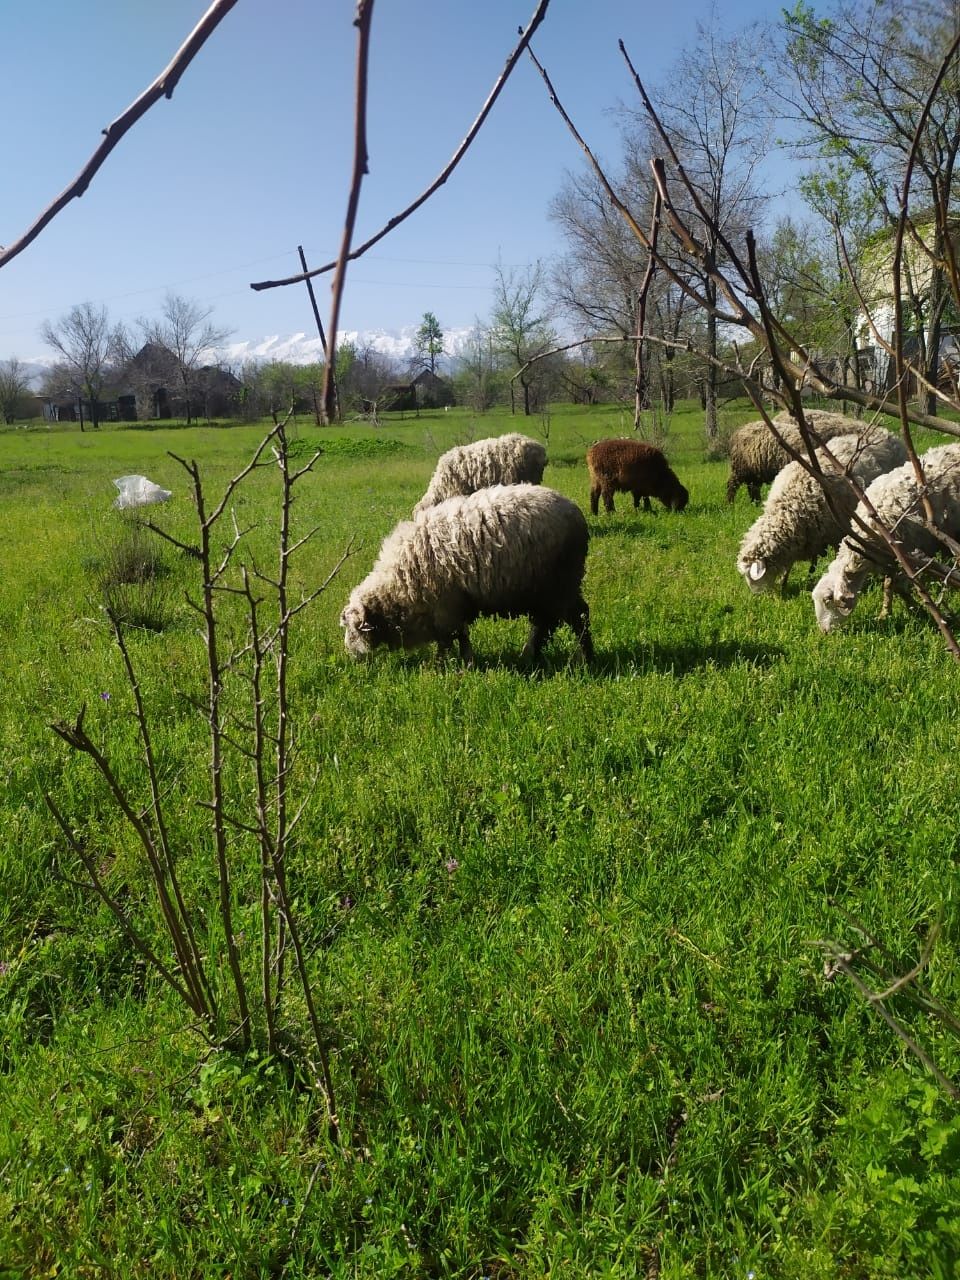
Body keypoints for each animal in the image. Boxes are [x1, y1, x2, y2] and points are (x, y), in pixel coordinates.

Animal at [337, 483, 593, 665]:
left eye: (351, 629)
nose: (350, 655)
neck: (395, 588)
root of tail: (576, 513)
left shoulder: (445, 607)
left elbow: (450, 638)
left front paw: (445, 666)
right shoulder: (452, 607)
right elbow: (460, 636)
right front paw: (465, 662)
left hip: (560, 582)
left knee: (575, 617)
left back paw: (584, 659)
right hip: (547, 588)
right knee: (549, 622)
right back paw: (534, 656)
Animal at [737, 424, 911, 593]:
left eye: (750, 577)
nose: (757, 596)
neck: (790, 507)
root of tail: (889, 433)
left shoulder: (837, 531)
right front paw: (783, 582)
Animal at [814, 442, 960, 632]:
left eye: (828, 600)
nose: (824, 632)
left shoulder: (906, 552)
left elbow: (899, 586)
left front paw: (916, 609)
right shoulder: (890, 556)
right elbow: (890, 586)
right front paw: (887, 613)